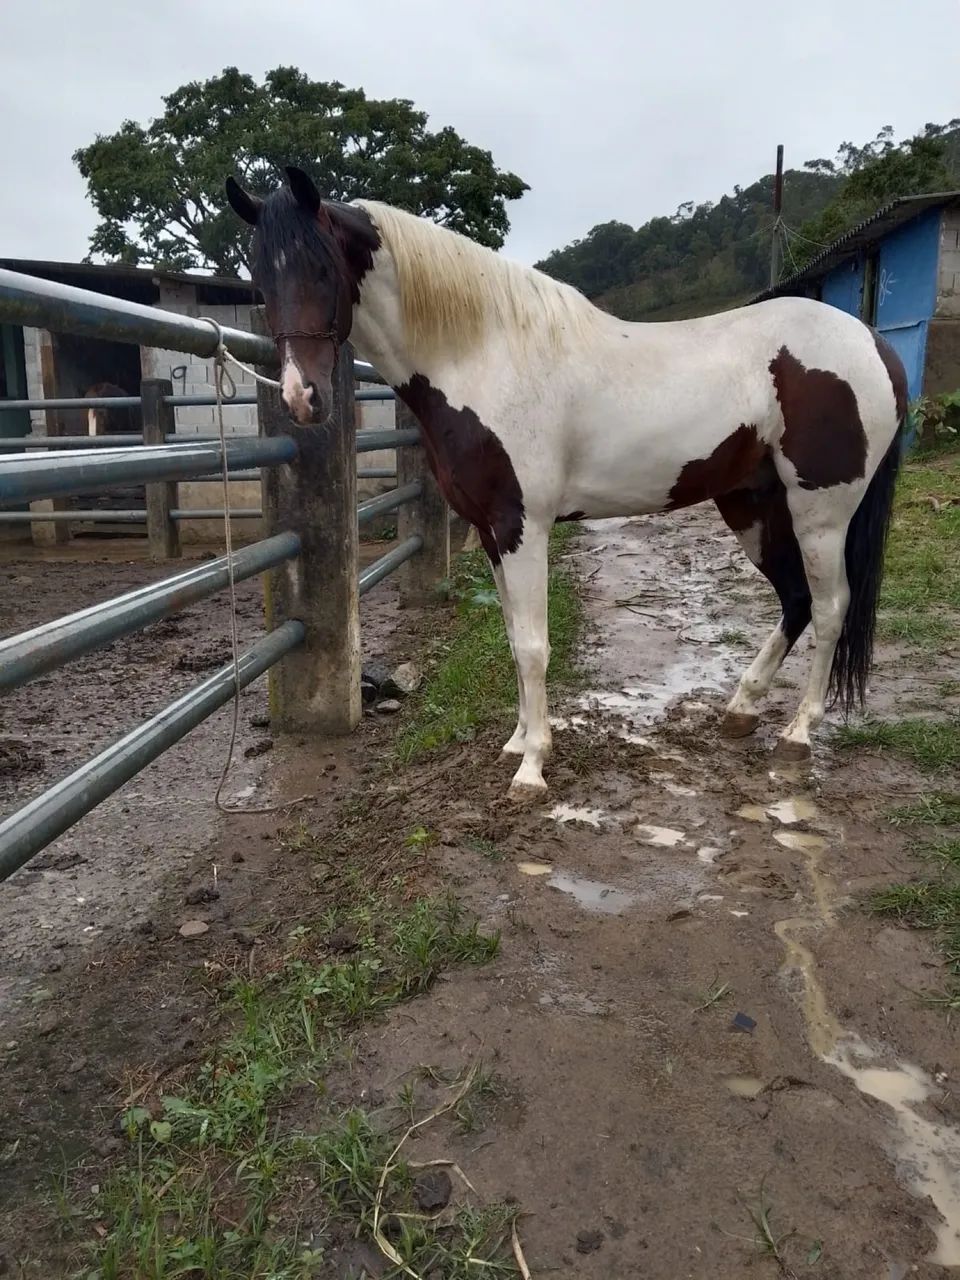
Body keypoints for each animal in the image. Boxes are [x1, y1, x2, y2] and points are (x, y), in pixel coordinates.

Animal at [226, 166, 906, 799]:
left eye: (322, 270)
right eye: (260, 278)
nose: (302, 397)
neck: (483, 357)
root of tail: (871, 342)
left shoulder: (522, 527)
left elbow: (532, 645)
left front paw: (532, 768)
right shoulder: (491, 531)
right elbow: (511, 637)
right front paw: (517, 741)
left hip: (821, 513)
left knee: (829, 608)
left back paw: (797, 735)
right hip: (752, 504)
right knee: (795, 601)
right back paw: (741, 711)